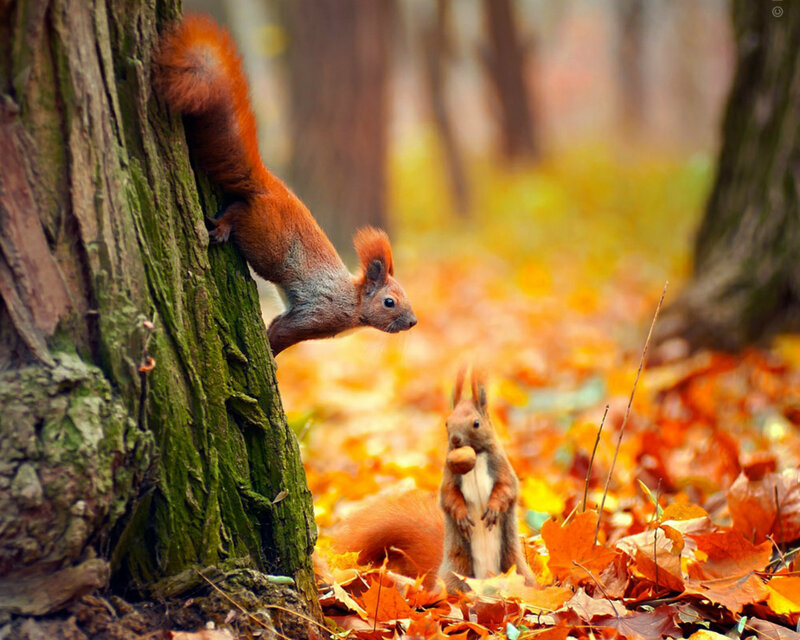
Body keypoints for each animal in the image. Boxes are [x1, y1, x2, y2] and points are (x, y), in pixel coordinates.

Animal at [155, 15, 417, 355]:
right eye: (389, 302)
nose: (413, 321)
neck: (355, 302)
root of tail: (269, 186)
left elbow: (278, 323)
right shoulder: (319, 313)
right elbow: (282, 332)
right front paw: (270, 354)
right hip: (267, 241)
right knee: (238, 211)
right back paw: (223, 227)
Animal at [333, 368, 535, 592]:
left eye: (476, 423)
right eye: (447, 422)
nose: (455, 439)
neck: (475, 460)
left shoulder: (502, 469)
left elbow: (506, 489)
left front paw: (493, 509)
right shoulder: (449, 477)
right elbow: (449, 497)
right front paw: (461, 515)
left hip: (517, 571)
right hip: (456, 574)